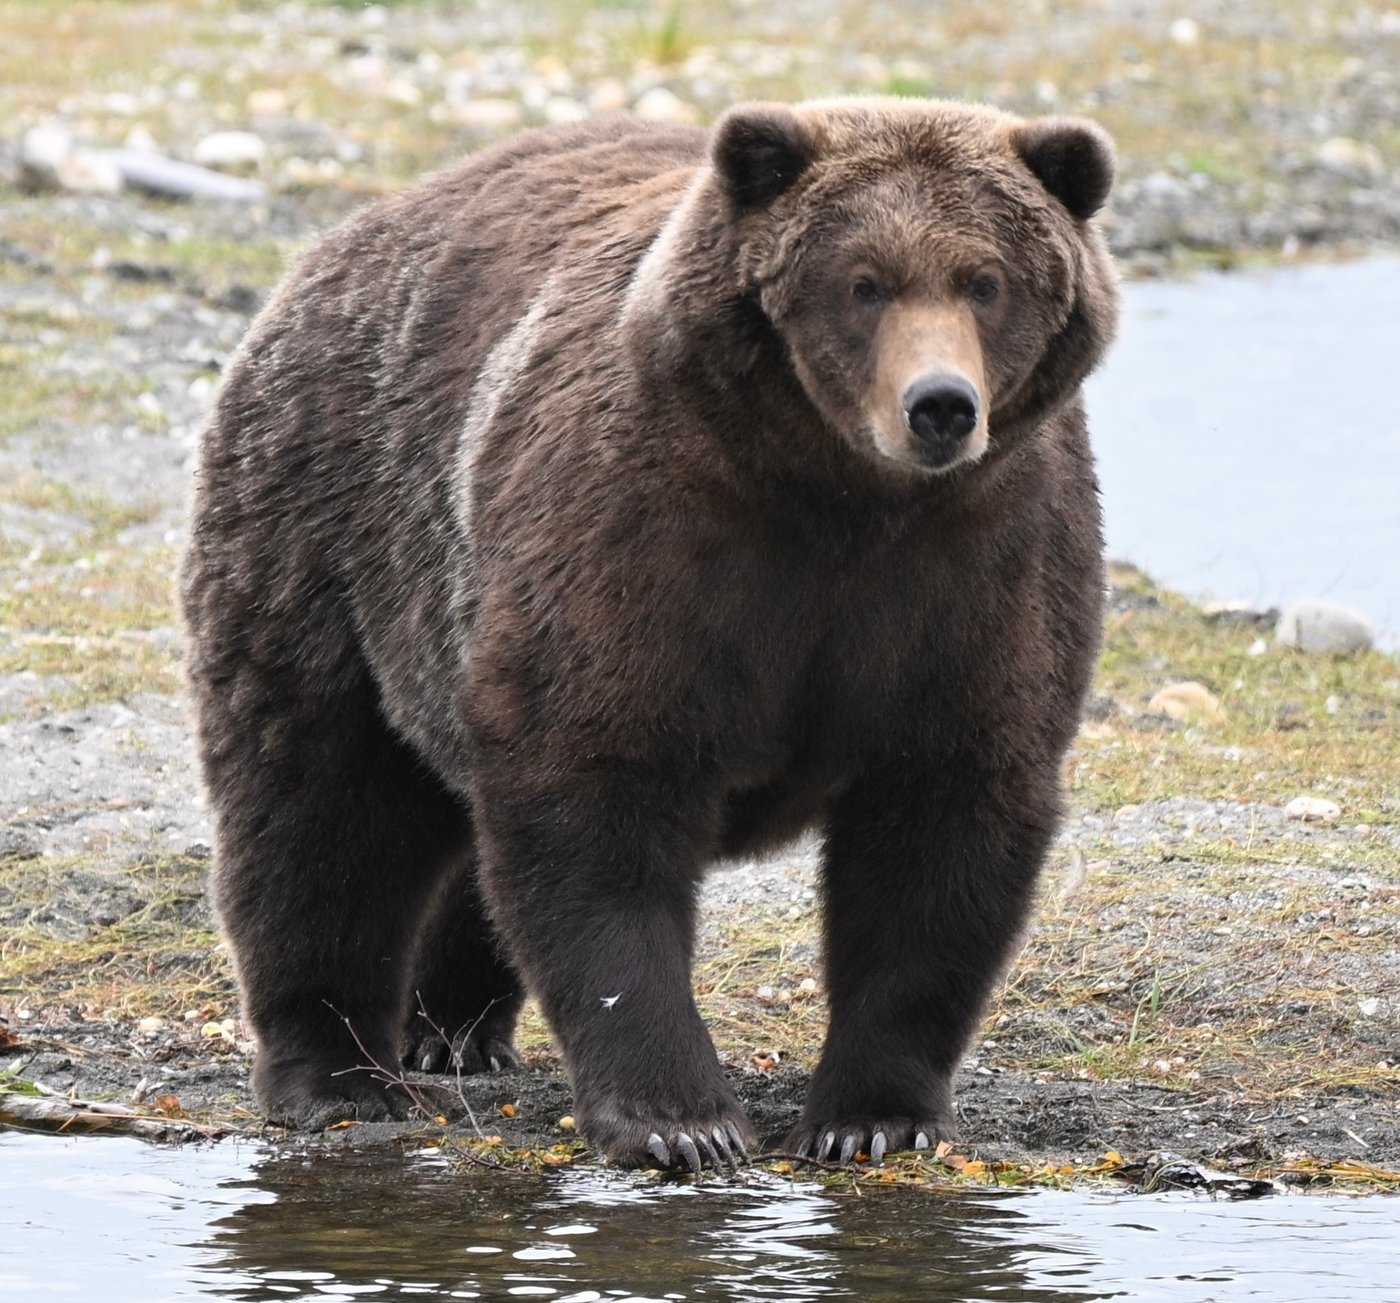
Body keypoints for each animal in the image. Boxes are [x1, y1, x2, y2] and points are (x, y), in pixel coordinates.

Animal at [180, 97, 1118, 1171]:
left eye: (986, 280)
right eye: (863, 282)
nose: (940, 406)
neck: (841, 499)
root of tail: (339, 243)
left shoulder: (979, 568)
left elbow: (943, 828)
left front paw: (871, 1117)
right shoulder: (647, 536)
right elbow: (598, 798)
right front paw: (683, 1119)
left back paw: (451, 1028)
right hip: (334, 533)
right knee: (317, 802)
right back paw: (337, 1074)